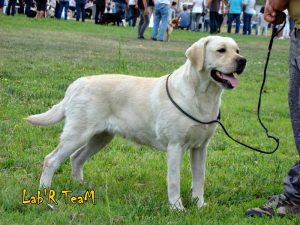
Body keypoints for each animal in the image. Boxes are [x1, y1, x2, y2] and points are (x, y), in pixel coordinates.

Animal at [27, 36, 246, 210]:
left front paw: (200, 205)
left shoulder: (200, 148)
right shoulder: (175, 147)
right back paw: (45, 191)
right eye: (221, 50)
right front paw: (177, 208)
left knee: (76, 158)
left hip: (100, 137)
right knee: (51, 159)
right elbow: (174, 181)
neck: (204, 96)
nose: (243, 61)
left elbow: (199, 179)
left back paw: (81, 186)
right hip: (77, 133)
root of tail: (77, 83)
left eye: (237, 50)